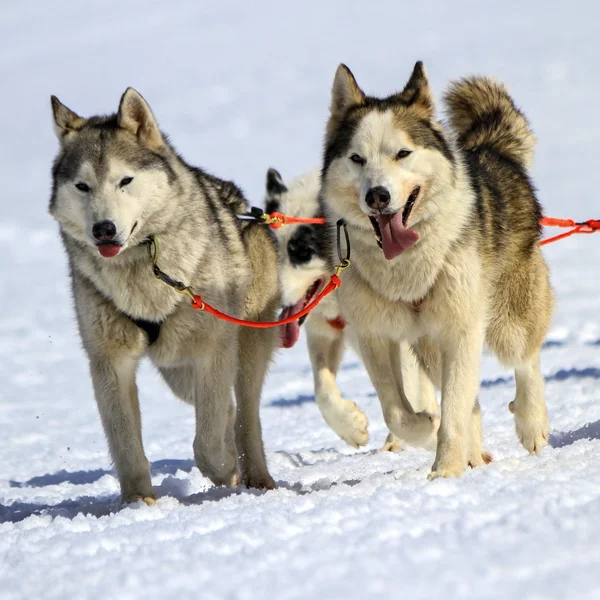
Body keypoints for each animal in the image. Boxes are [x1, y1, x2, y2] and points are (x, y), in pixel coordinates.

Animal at [48, 89, 278, 502]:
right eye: (82, 186)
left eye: (125, 180)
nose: (103, 229)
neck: (145, 267)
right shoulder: (109, 360)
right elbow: (126, 444)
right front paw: (139, 502)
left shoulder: (214, 350)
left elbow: (207, 443)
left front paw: (223, 469)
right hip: (177, 372)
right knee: (228, 409)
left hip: (243, 348)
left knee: (245, 414)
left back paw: (253, 476)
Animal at [324, 62, 552, 478]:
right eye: (356, 158)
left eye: (403, 153)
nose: (377, 196)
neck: (405, 268)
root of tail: (489, 150)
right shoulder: (375, 334)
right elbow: (397, 411)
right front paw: (427, 431)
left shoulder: (461, 328)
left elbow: (455, 409)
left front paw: (445, 472)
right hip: (428, 347)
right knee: (466, 401)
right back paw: (473, 453)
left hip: (506, 321)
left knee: (524, 357)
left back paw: (530, 422)